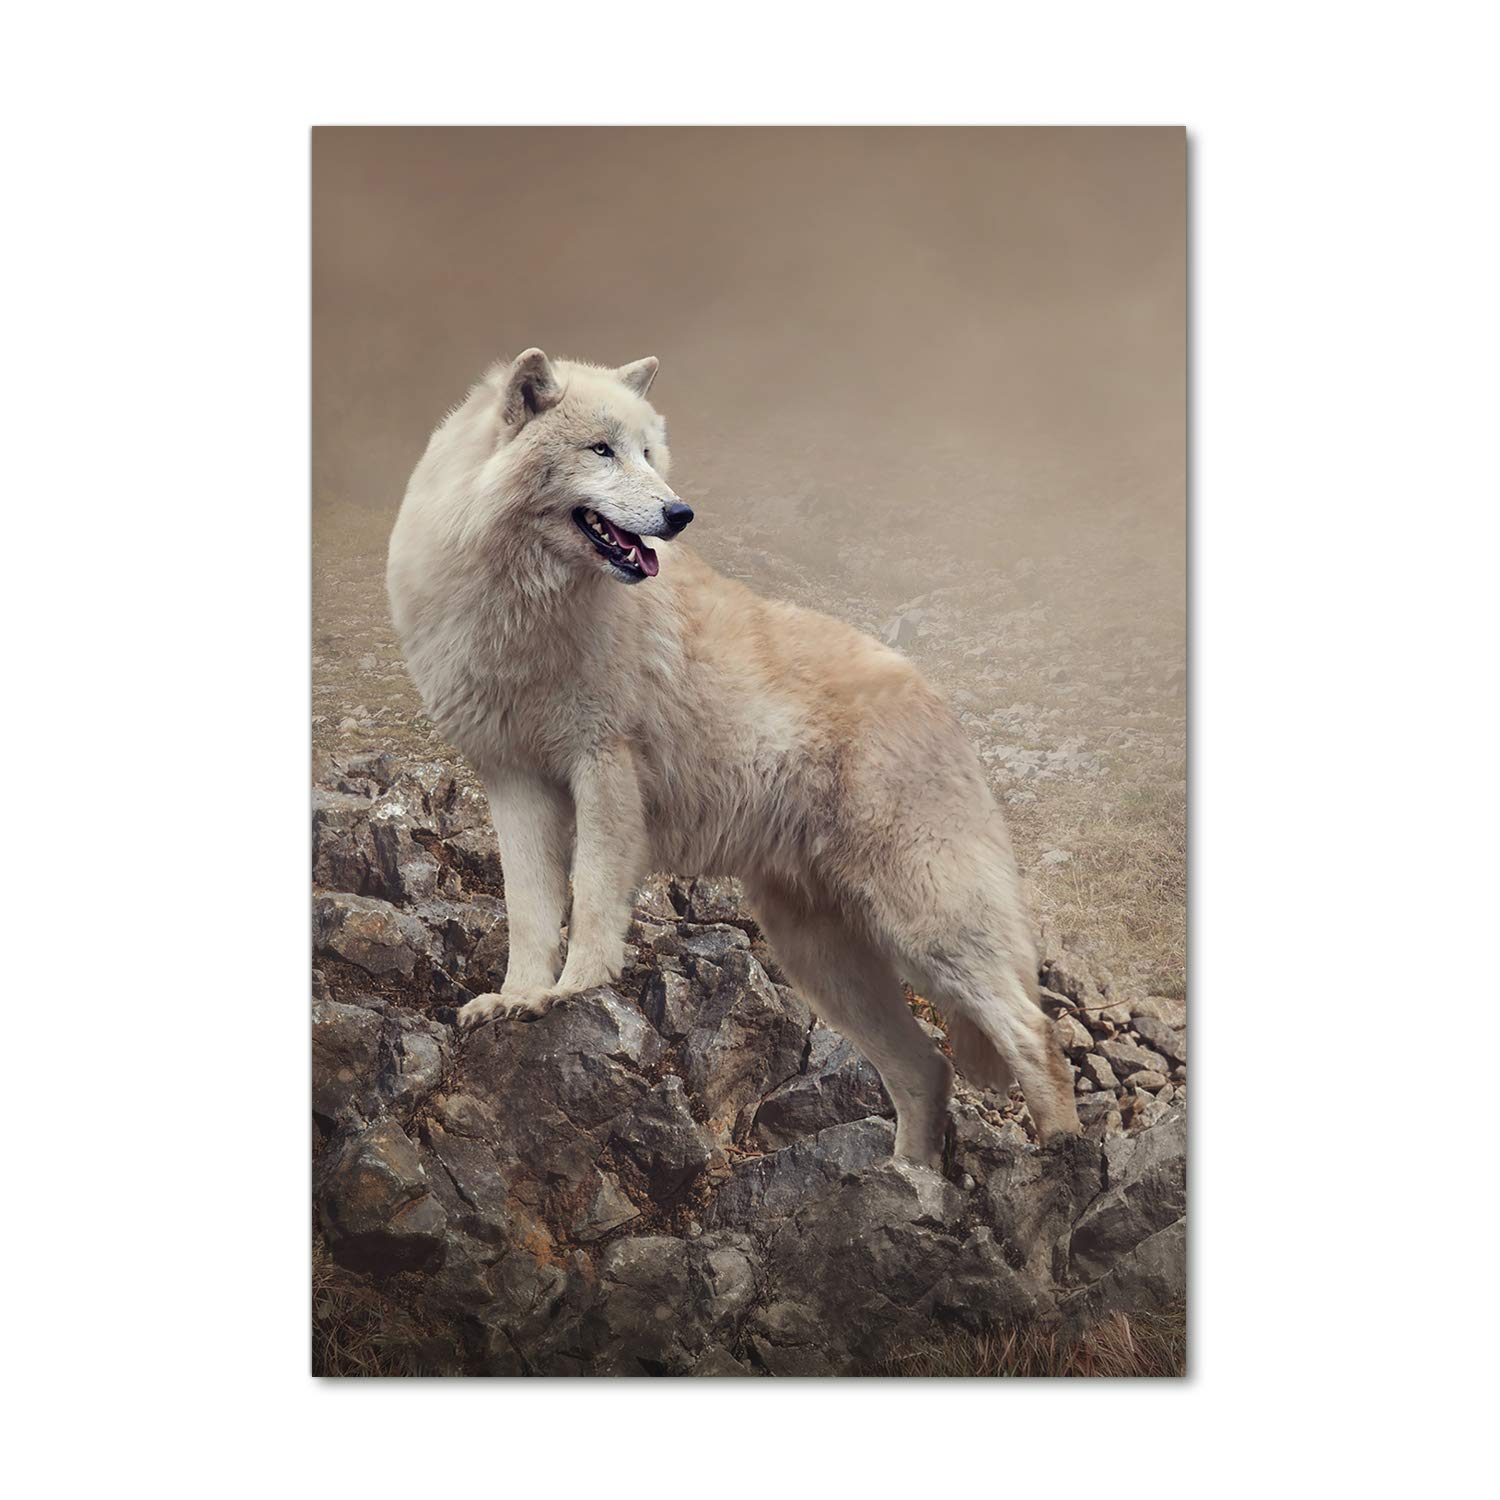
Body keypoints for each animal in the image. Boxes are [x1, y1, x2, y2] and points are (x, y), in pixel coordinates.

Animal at [387, 349, 1081, 1164]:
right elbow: (529, 910)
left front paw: (574, 990)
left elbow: (591, 897)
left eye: (649, 454)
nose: (679, 515)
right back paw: (910, 1183)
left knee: (1035, 1035)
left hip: (924, 926)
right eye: (601, 450)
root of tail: (939, 700)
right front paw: (519, 998)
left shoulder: (602, 766)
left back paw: (1058, 1158)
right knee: (927, 1070)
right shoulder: (515, 781)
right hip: (824, 960)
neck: (524, 609)